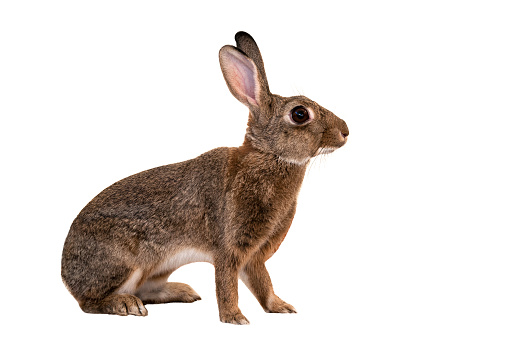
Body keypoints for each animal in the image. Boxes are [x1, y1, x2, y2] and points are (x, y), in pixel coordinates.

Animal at [58, 32, 346, 326]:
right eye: (300, 114)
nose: (345, 131)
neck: (268, 155)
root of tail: (66, 274)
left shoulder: (255, 255)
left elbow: (263, 282)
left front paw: (281, 307)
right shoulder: (230, 246)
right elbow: (227, 283)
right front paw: (234, 318)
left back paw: (183, 291)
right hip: (124, 263)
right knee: (89, 302)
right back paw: (126, 304)